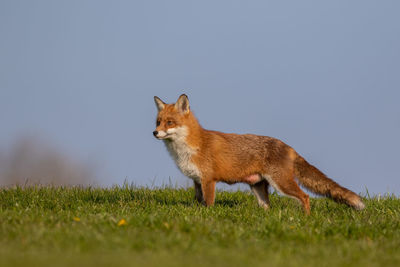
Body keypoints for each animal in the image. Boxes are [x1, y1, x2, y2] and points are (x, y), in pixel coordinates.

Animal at [153, 94, 366, 216]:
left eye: (170, 122)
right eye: (158, 122)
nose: (154, 133)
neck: (190, 148)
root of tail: (288, 146)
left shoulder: (209, 180)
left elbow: (209, 204)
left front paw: (209, 218)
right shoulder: (197, 181)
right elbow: (199, 202)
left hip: (281, 183)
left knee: (305, 197)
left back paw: (306, 219)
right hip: (258, 187)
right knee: (268, 207)